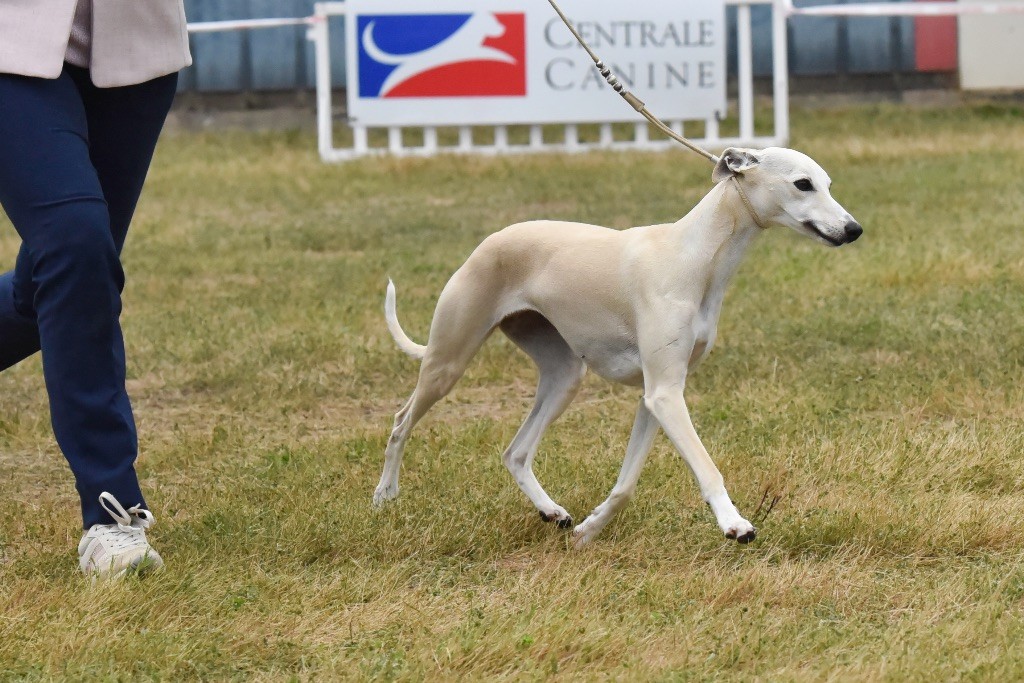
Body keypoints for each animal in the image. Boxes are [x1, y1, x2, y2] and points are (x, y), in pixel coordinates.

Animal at [376, 147, 864, 548]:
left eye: (827, 183)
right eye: (803, 183)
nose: (854, 229)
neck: (694, 255)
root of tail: (487, 242)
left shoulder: (658, 394)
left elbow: (626, 485)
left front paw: (589, 530)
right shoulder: (665, 394)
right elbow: (707, 467)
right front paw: (734, 523)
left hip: (563, 377)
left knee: (515, 451)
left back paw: (551, 511)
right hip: (448, 359)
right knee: (401, 422)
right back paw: (385, 497)